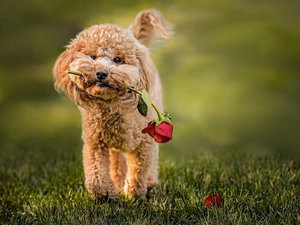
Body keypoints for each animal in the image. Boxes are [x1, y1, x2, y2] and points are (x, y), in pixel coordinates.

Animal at [52, 9, 172, 201]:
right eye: (92, 57)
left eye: (117, 59)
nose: (101, 73)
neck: (113, 107)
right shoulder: (95, 143)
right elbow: (96, 174)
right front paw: (107, 195)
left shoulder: (144, 144)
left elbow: (139, 172)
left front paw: (133, 195)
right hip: (114, 146)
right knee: (116, 162)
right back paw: (118, 181)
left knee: (152, 160)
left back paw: (149, 181)